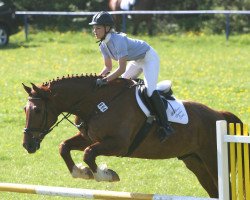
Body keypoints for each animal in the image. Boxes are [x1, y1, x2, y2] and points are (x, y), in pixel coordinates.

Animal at [23, 75, 242, 198]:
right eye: (25, 109)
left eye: (37, 110)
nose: (27, 145)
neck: (98, 103)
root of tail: (219, 115)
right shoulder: (89, 137)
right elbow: (64, 146)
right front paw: (82, 172)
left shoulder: (118, 144)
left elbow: (88, 153)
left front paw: (105, 174)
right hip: (195, 162)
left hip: (212, 160)